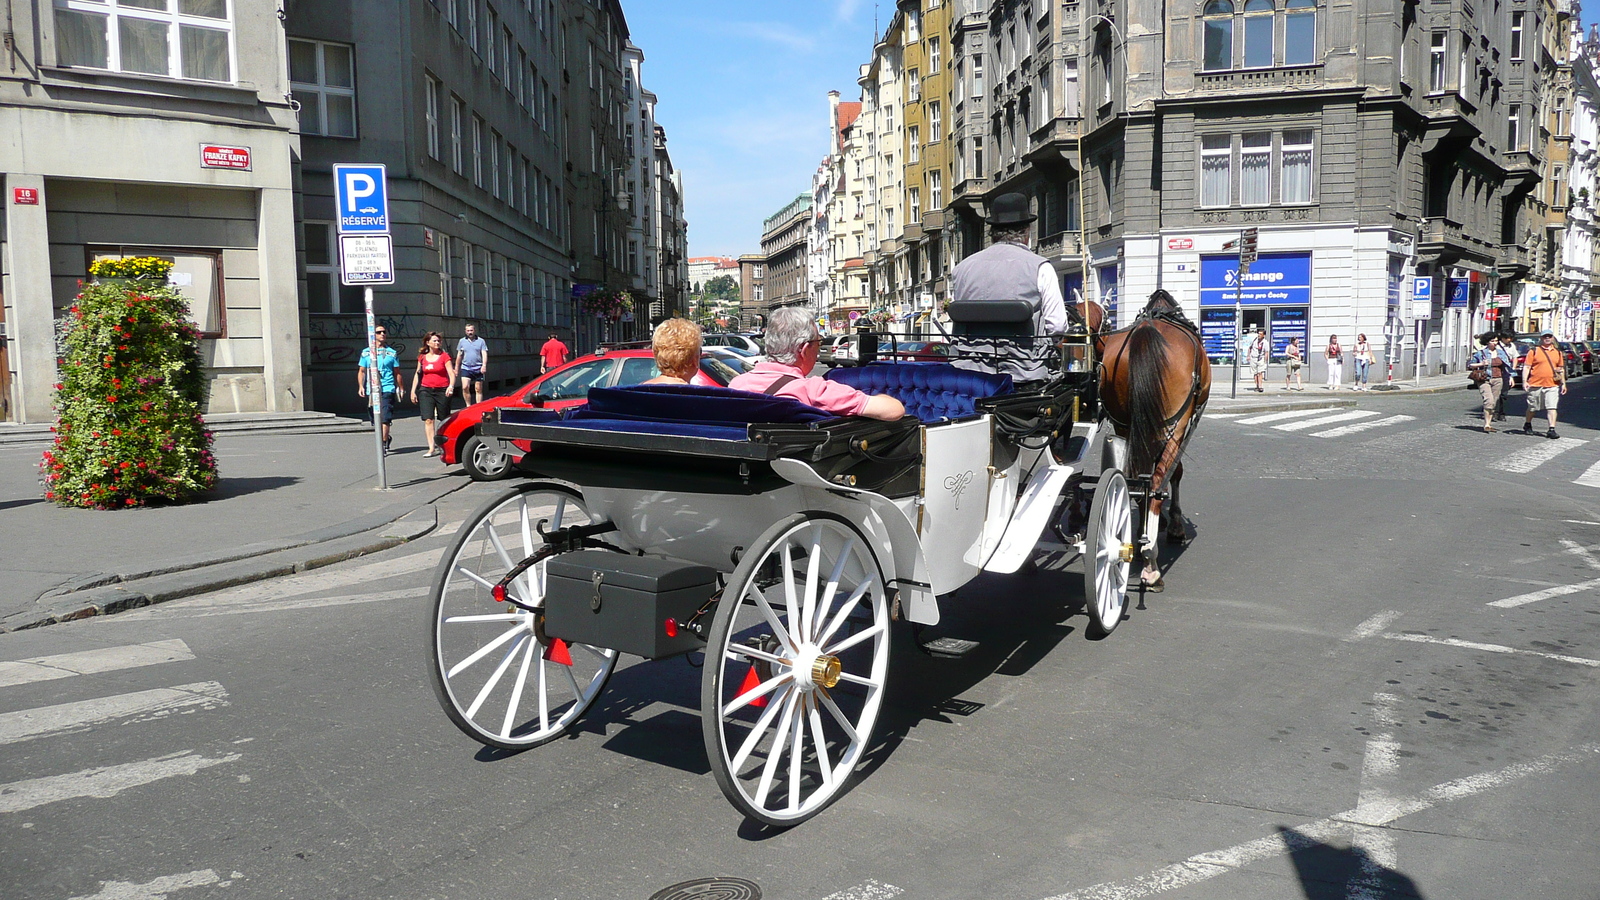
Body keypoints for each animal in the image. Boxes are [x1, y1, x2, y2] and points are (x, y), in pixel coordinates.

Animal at [1100, 286, 1209, 586]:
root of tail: (1147, 330)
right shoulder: (1182, 424)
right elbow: (1176, 472)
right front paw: (1174, 526)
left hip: (1126, 424)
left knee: (1134, 477)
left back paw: (1138, 544)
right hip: (1174, 422)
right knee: (1159, 480)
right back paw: (1151, 562)